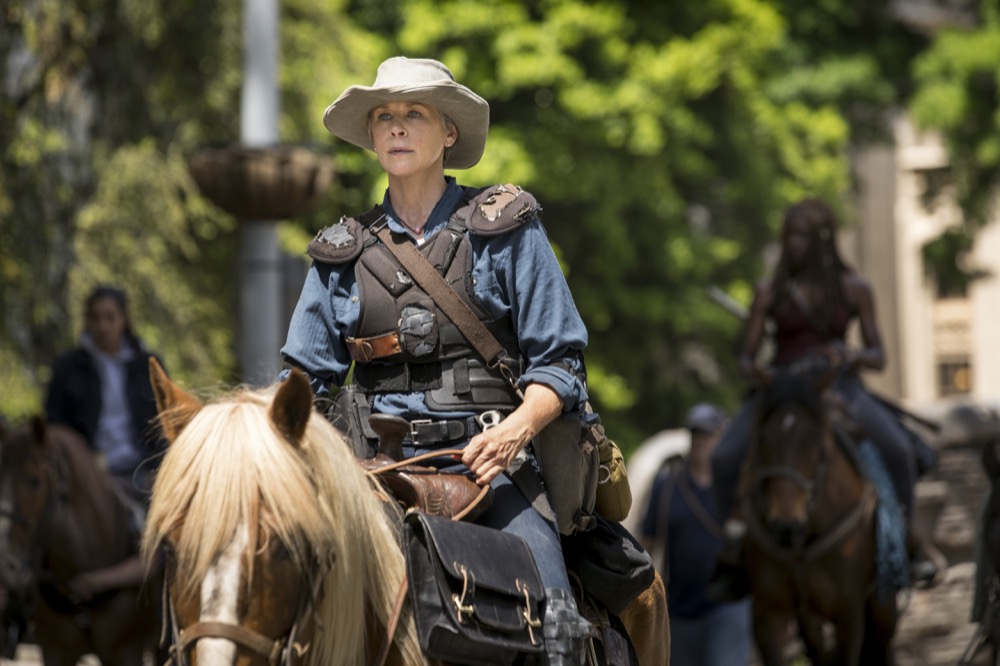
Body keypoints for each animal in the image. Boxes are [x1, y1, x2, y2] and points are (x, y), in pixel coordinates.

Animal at [744, 370, 900, 660]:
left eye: (813, 440)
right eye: (763, 438)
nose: (785, 525)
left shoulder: (849, 611)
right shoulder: (768, 614)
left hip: (881, 610)